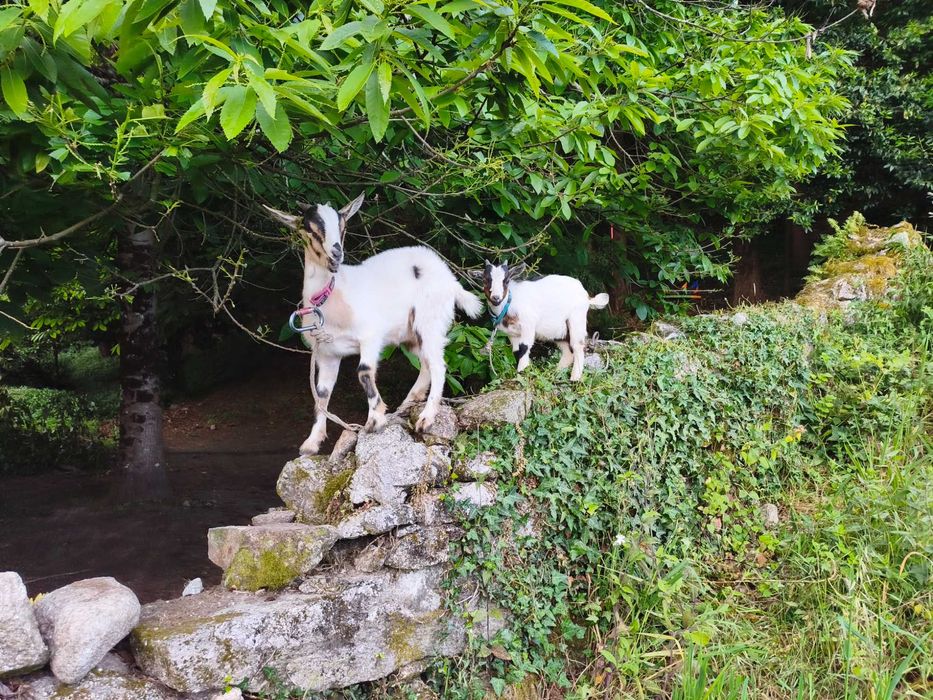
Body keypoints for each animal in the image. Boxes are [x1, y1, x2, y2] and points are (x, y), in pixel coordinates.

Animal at [265, 194, 482, 454]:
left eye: (343, 226)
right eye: (309, 229)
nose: (336, 254)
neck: (333, 293)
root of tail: (450, 280)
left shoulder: (370, 336)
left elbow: (364, 371)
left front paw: (375, 419)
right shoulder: (327, 353)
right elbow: (322, 393)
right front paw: (312, 442)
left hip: (429, 321)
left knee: (439, 365)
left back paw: (426, 418)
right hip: (410, 335)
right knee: (427, 363)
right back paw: (410, 400)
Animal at [472, 261, 609, 381]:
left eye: (506, 281)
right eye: (485, 280)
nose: (496, 298)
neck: (510, 302)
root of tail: (586, 296)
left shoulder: (528, 324)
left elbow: (524, 347)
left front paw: (521, 373)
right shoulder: (511, 333)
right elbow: (516, 351)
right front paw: (522, 372)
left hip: (576, 318)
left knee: (578, 346)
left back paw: (575, 379)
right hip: (559, 332)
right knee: (568, 352)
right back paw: (555, 374)